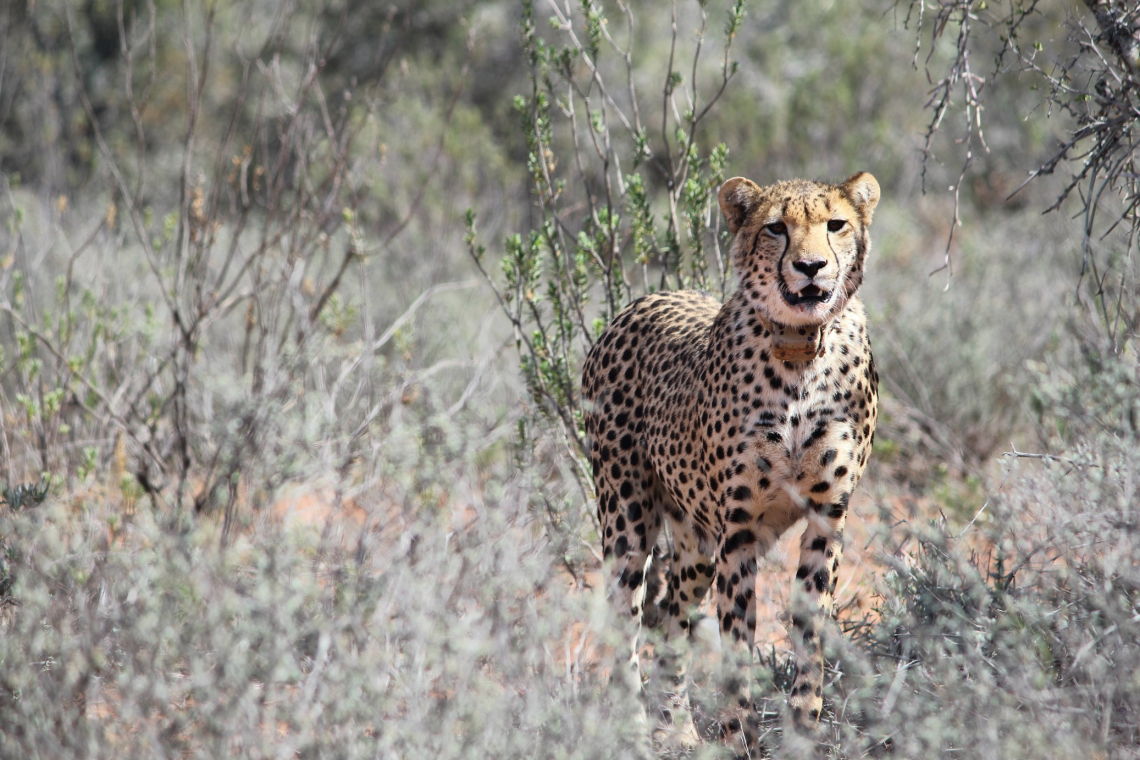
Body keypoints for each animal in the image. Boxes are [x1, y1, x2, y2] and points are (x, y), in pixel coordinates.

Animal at [581, 172, 880, 750]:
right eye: (776, 228)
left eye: (836, 224)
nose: (812, 266)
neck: (799, 352)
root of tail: (648, 297)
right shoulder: (738, 531)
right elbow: (738, 646)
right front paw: (741, 736)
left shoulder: (825, 518)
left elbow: (809, 637)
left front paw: (801, 732)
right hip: (627, 521)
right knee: (626, 619)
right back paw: (635, 729)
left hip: (696, 542)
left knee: (671, 616)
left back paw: (679, 729)